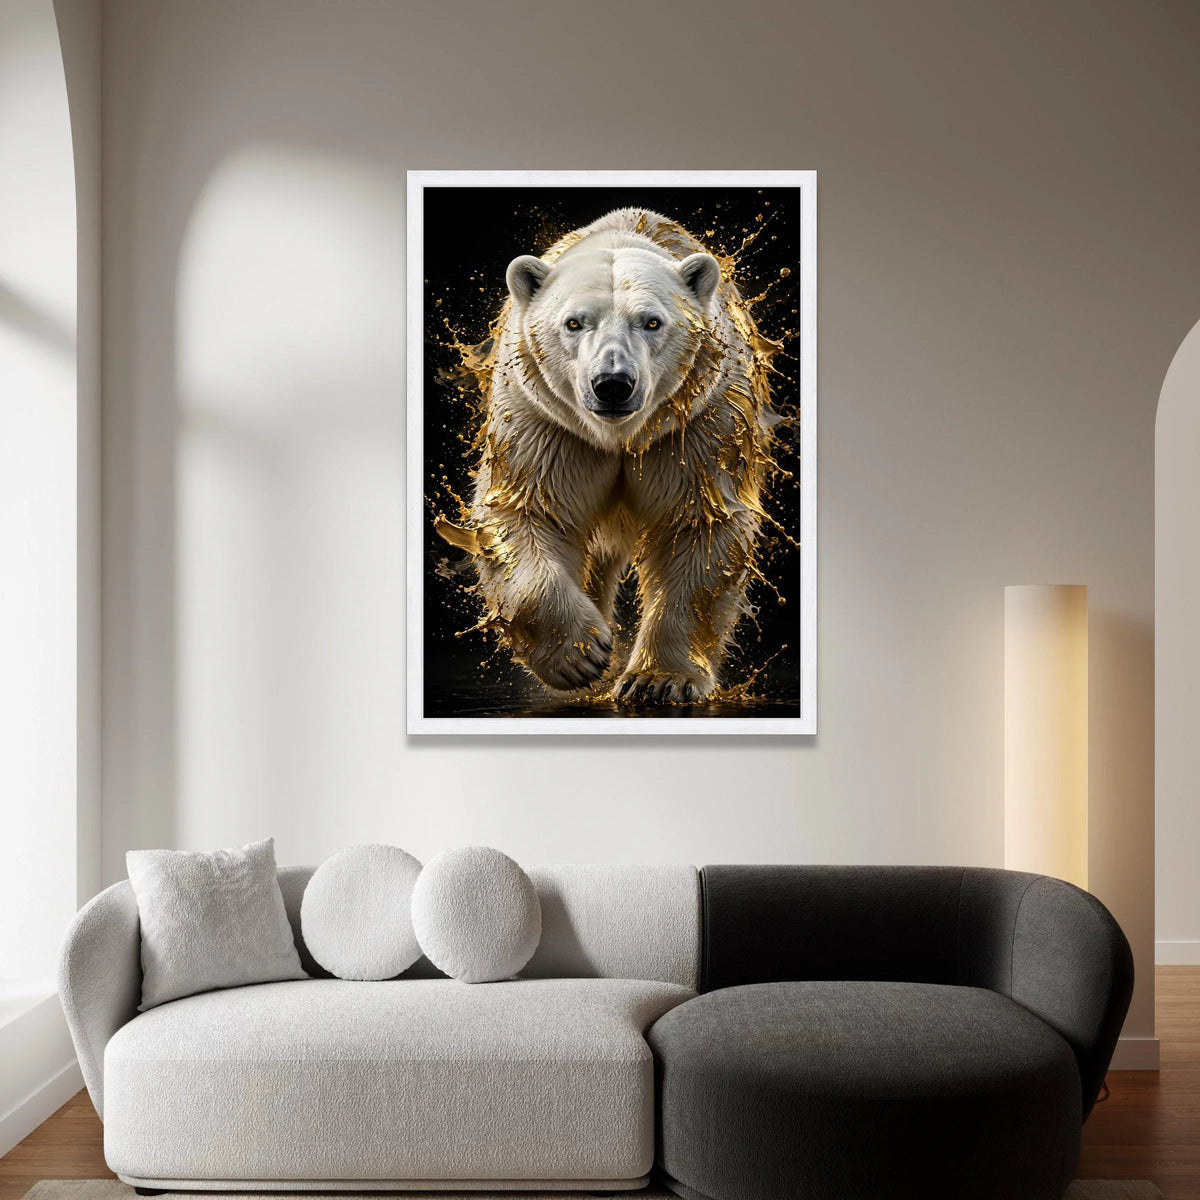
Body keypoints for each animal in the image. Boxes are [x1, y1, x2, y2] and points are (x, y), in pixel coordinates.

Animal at [437, 208, 783, 705]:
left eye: (652, 322)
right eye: (573, 322)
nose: (613, 383)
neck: (618, 436)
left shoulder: (696, 424)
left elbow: (701, 523)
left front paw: (659, 680)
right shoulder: (548, 424)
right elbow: (525, 512)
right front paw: (581, 655)